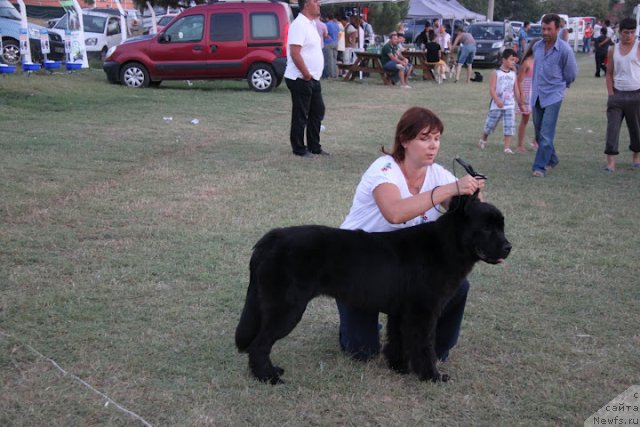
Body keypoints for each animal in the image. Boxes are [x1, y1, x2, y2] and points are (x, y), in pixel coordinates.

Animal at [235, 194, 510, 384]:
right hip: (287, 309)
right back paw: (269, 377)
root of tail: (270, 239)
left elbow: (399, 341)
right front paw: (431, 376)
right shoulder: (423, 313)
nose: (508, 247)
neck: (446, 245)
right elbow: (423, 347)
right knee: (259, 344)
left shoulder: (403, 313)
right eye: (486, 227)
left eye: (501, 226)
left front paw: (399, 368)